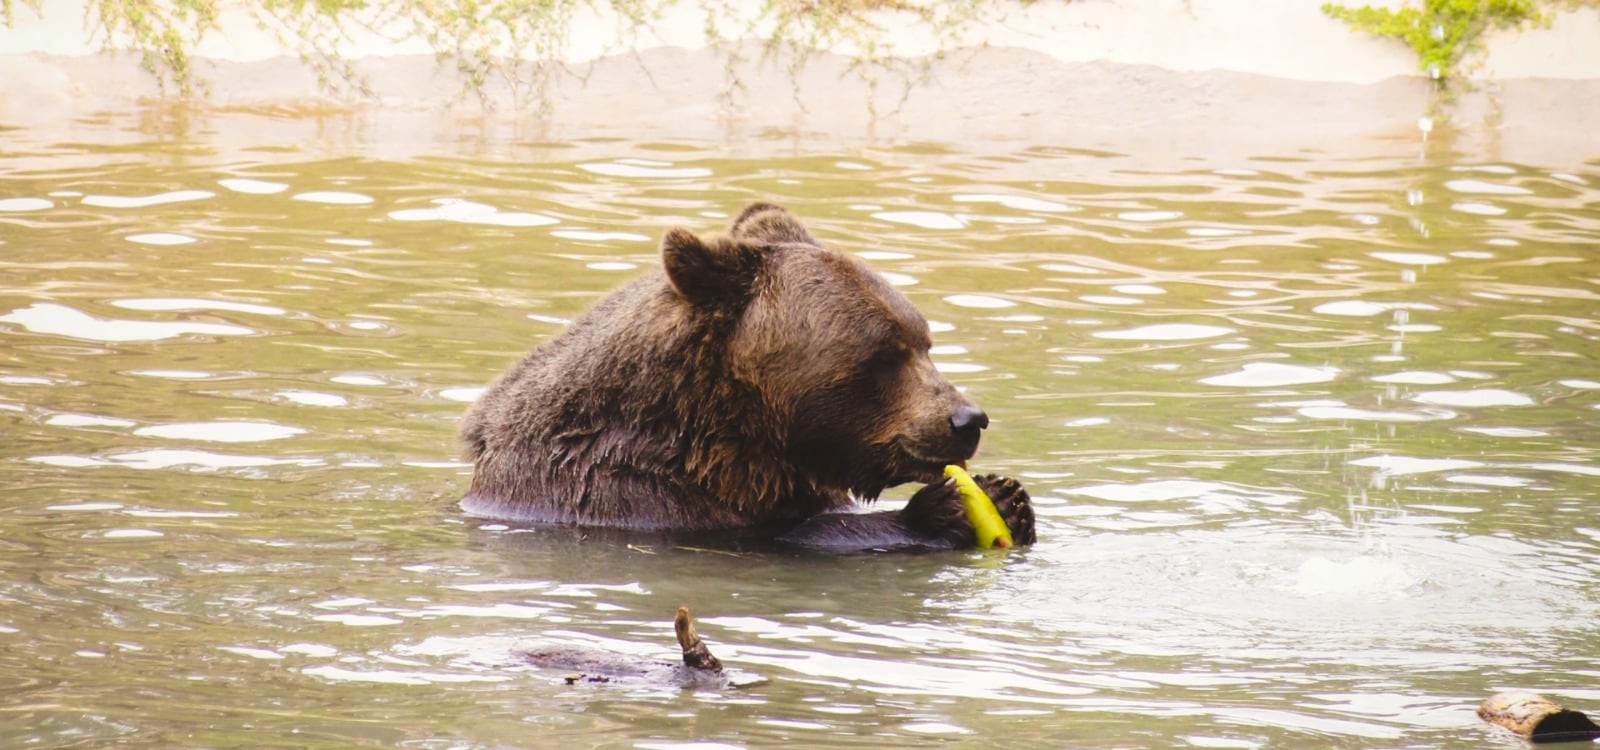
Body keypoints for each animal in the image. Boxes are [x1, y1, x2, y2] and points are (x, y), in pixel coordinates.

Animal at [459, 202, 1033, 551]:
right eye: (885, 354)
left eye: (923, 342)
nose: (967, 419)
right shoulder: (633, 500)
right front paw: (943, 508)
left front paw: (1010, 497)